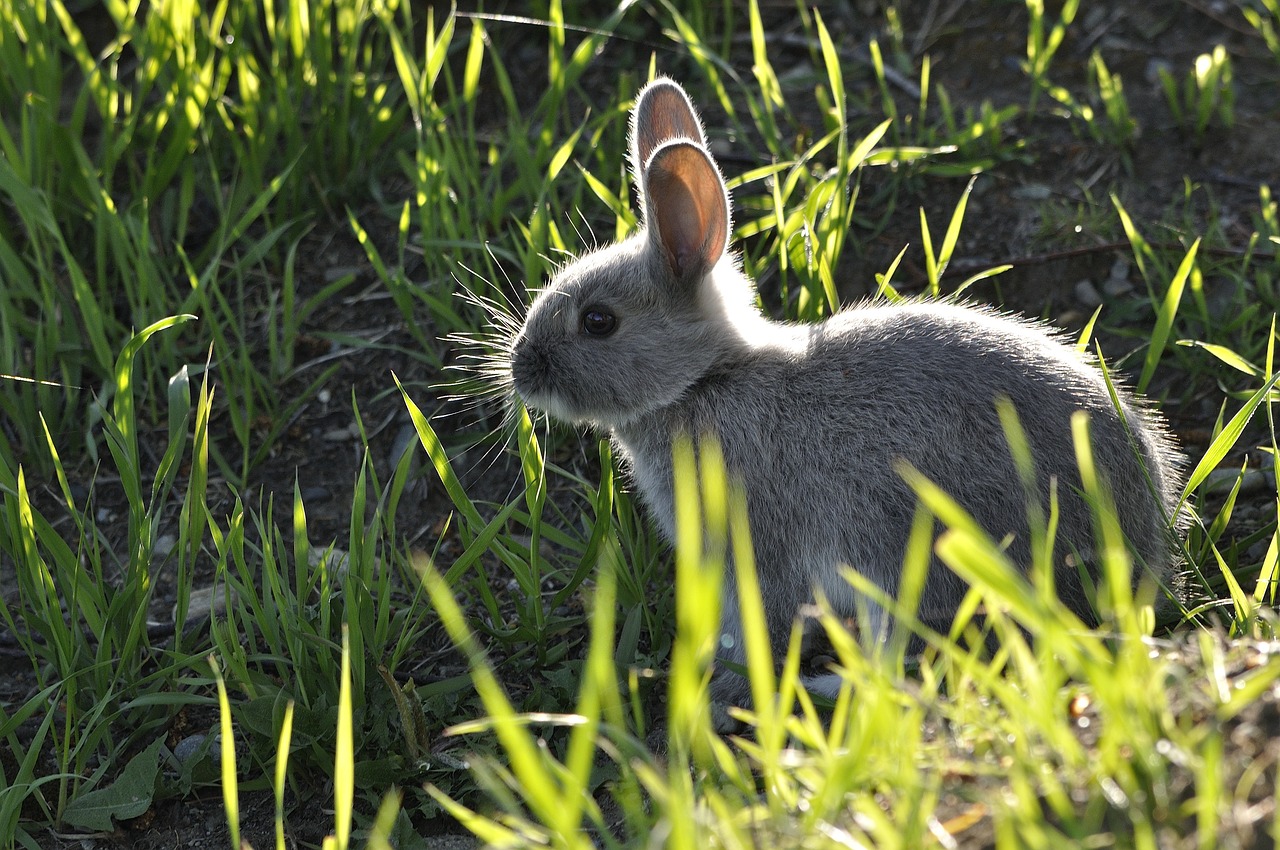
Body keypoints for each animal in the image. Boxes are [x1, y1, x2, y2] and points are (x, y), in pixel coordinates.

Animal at [504, 74, 1182, 711]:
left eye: (598, 321)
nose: (521, 368)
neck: (703, 382)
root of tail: (1138, 564)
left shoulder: (756, 549)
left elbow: (761, 625)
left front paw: (722, 693)